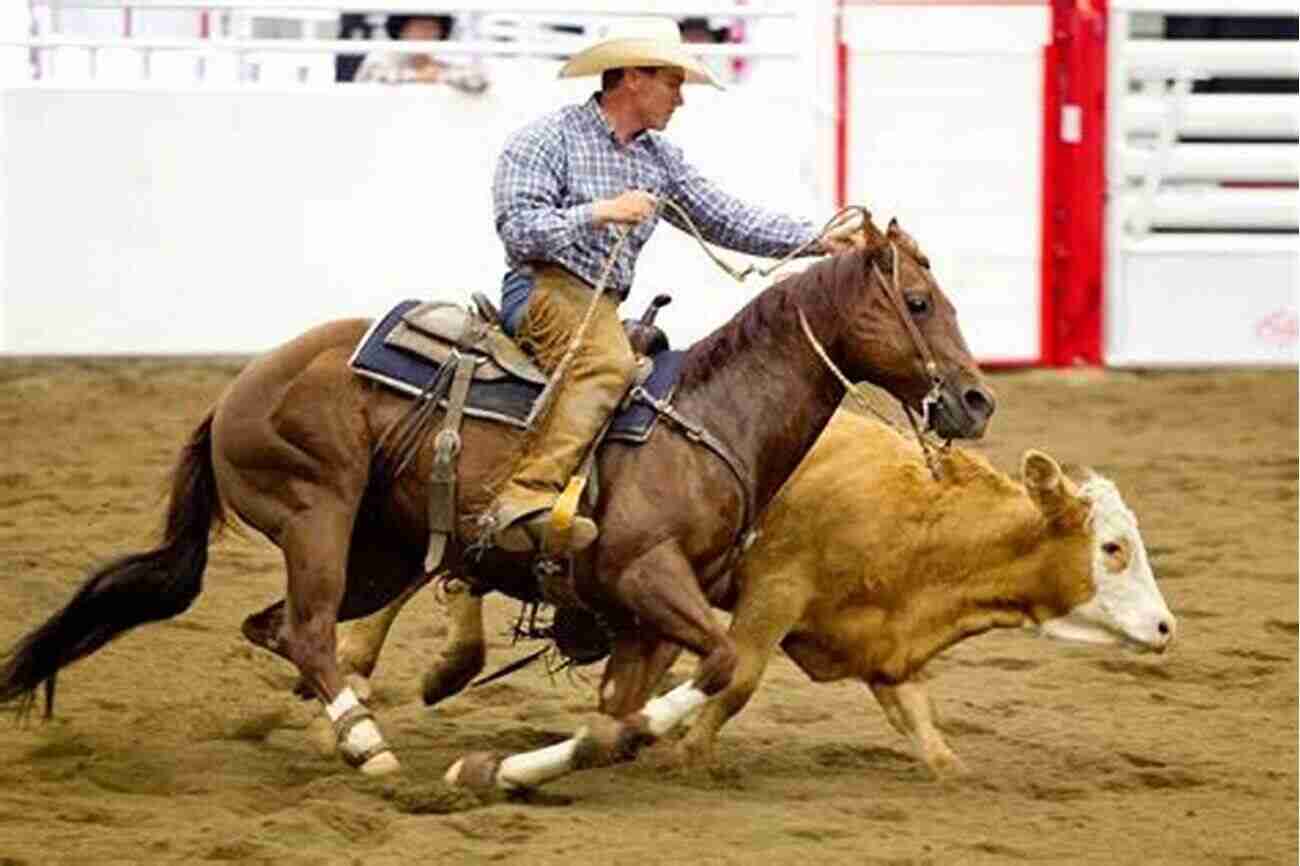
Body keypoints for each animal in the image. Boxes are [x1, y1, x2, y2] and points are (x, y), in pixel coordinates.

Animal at [0, 214, 993, 774]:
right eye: (915, 301)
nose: (977, 400)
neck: (709, 419)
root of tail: (235, 390)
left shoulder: (650, 612)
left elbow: (632, 706)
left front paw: (562, 758)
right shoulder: (643, 576)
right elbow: (719, 664)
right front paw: (526, 763)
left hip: (378, 548)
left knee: (277, 627)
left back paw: (345, 724)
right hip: (317, 512)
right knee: (310, 630)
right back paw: (369, 748)